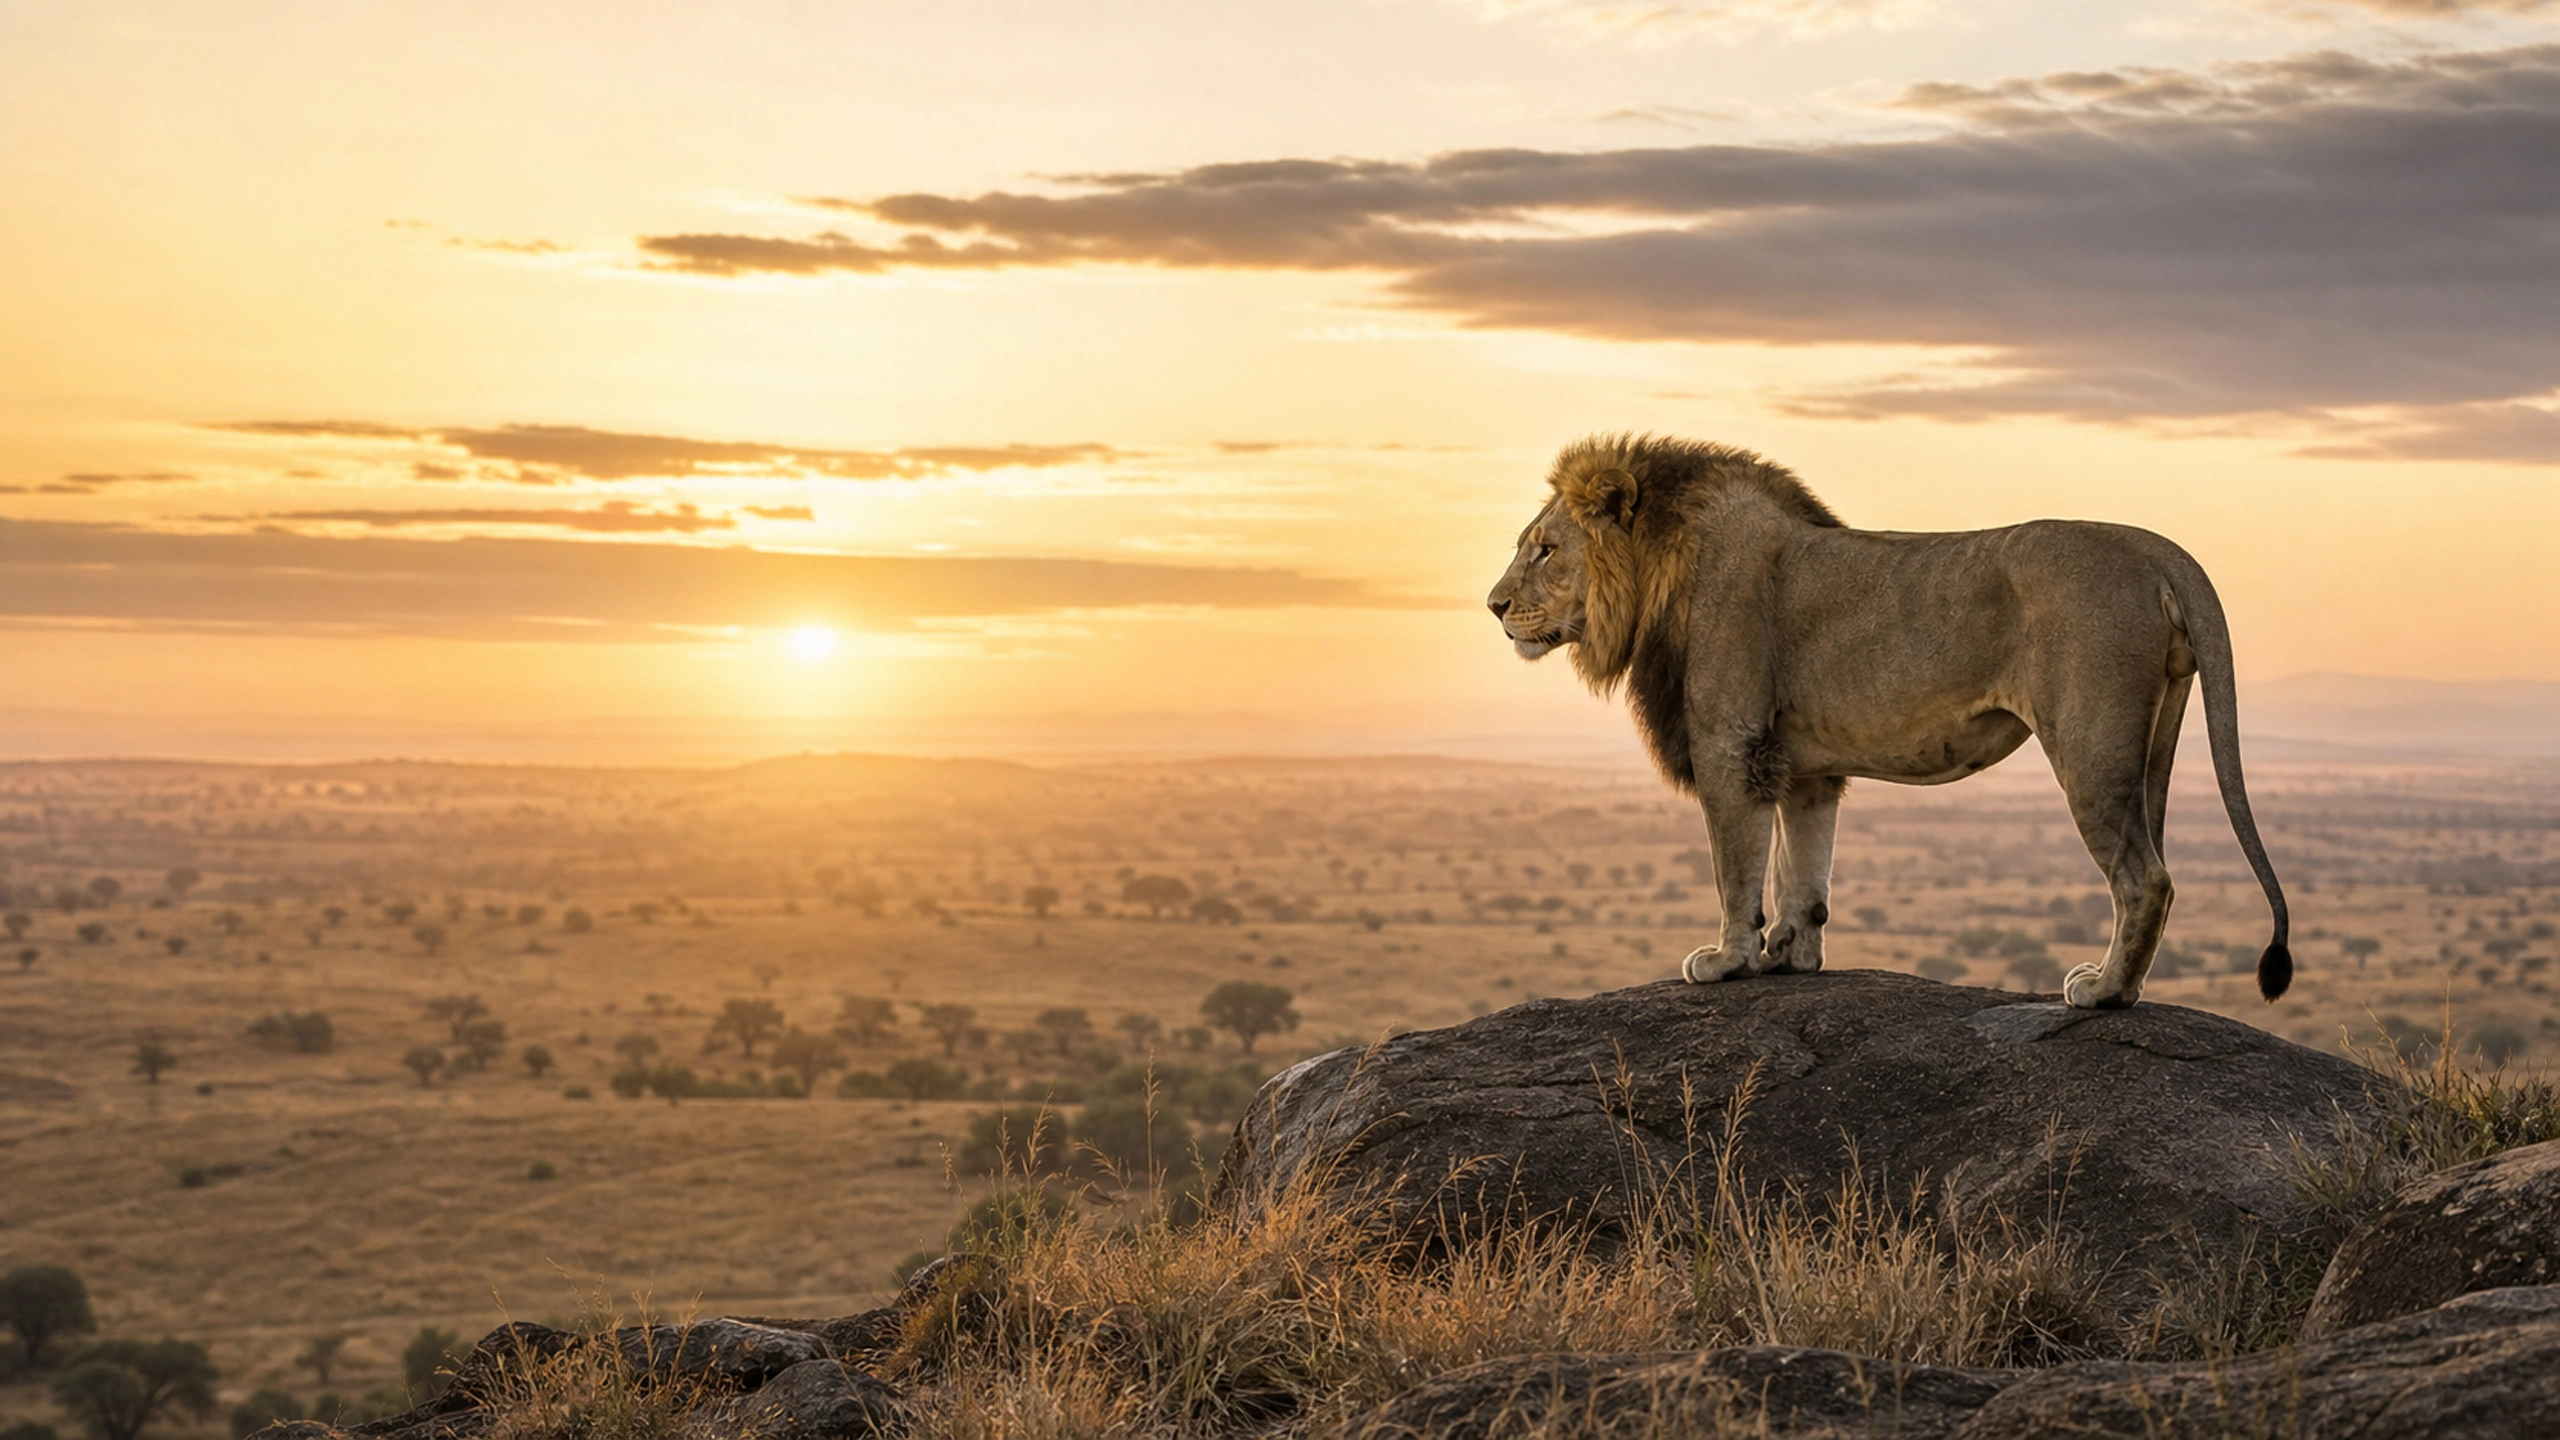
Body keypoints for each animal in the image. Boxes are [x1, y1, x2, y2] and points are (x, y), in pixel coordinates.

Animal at [1486, 434, 2290, 1010]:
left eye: (1545, 549)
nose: (1494, 605)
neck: (1660, 569)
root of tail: (2158, 548)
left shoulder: (1729, 744)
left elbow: (1736, 867)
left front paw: (1728, 962)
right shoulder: (1799, 766)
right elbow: (1801, 866)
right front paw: (1790, 956)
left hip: (2090, 746)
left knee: (2146, 877)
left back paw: (2103, 992)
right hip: (2152, 742)